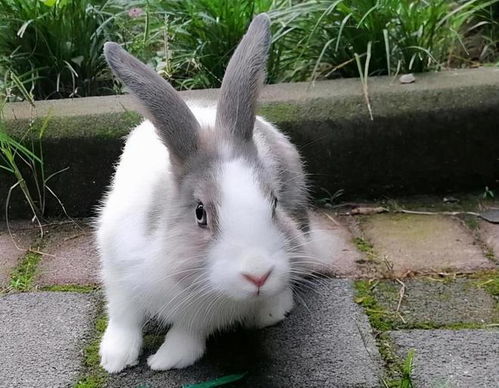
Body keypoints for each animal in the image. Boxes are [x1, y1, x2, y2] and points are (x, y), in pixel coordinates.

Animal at [96, 13, 314, 374]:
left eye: (273, 204)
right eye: (200, 213)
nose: (258, 275)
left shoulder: (207, 312)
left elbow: (189, 330)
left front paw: (167, 359)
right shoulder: (117, 270)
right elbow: (123, 316)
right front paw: (114, 358)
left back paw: (271, 311)